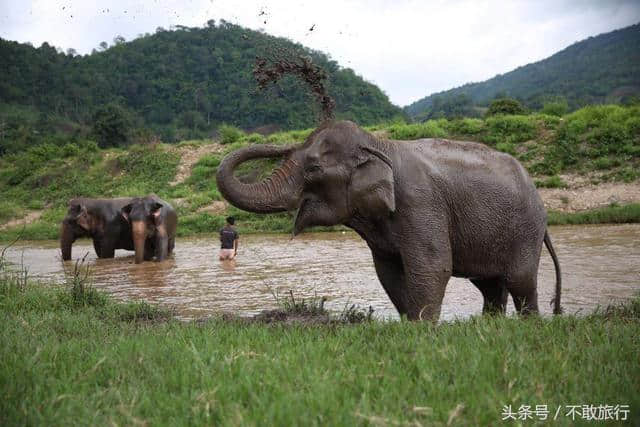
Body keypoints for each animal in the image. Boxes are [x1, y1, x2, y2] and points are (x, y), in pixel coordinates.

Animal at [215, 120, 560, 320]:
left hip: (525, 230)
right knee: (490, 285)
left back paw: (529, 325)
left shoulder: (421, 202)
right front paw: (409, 325)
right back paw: (490, 326)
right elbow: (388, 272)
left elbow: (433, 266)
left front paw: (422, 331)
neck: (379, 145)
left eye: (313, 169)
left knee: (520, 281)